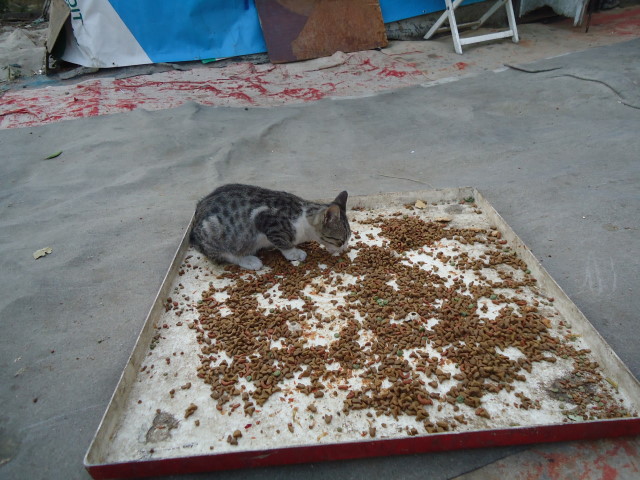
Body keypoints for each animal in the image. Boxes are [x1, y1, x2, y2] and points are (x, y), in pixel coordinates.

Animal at [190, 184, 351, 270]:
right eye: (340, 240)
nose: (344, 249)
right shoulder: (266, 220)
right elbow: (283, 242)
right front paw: (294, 253)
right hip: (214, 231)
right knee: (226, 255)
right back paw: (248, 260)